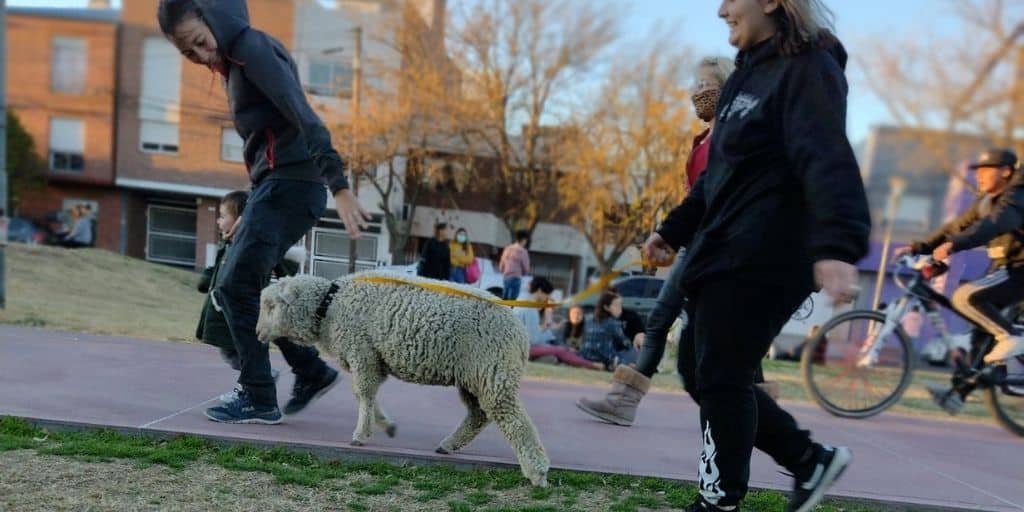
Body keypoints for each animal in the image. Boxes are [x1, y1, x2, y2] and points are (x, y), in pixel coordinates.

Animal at [256, 270, 552, 485]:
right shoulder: (372, 359)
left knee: (513, 421)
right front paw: (385, 425)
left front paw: (361, 435)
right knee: (478, 415)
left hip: (493, 371)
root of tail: (521, 334)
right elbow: (365, 394)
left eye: (271, 305)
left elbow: (363, 393)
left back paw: (537, 473)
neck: (330, 306)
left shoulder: (361, 351)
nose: (258, 333)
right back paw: (448, 445)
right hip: (474, 376)